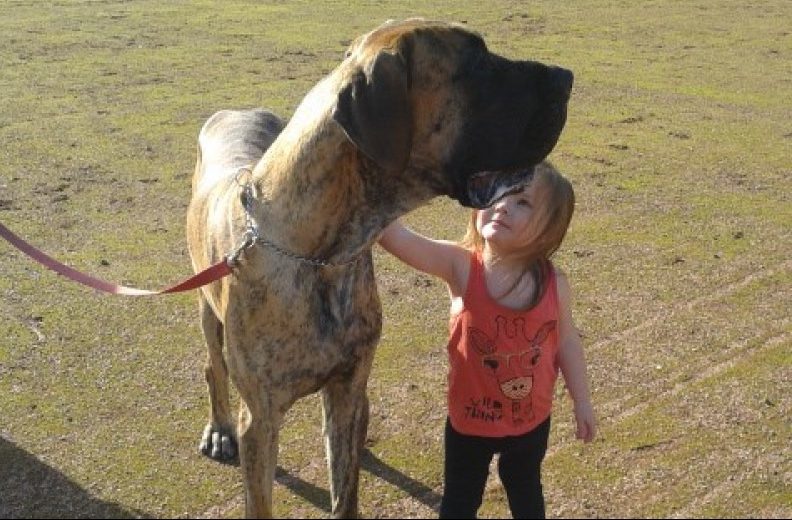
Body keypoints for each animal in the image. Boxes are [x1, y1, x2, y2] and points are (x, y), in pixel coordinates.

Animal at [186, 18, 568, 516]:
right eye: (477, 65)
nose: (567, 77)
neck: (322, 258)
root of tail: (233, 111)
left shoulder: (351, 380)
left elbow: (345, 490)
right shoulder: (262, 419)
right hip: (207, 310)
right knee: (213, 366)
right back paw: (219, 429)